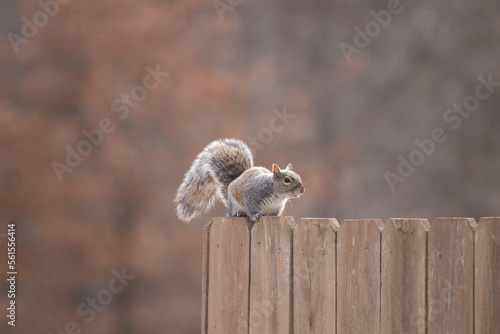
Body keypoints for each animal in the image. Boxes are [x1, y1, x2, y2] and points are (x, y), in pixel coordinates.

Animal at [176, 138, 304, 222]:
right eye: (287, 180)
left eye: (299, 176)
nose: (302, 190)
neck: (277, 195)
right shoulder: (252, 194)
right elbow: (252, 207)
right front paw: (255, 215)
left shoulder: (277, 207)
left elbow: (275, 214)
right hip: (234, 204)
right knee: (232, 213)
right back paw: (238, 213)